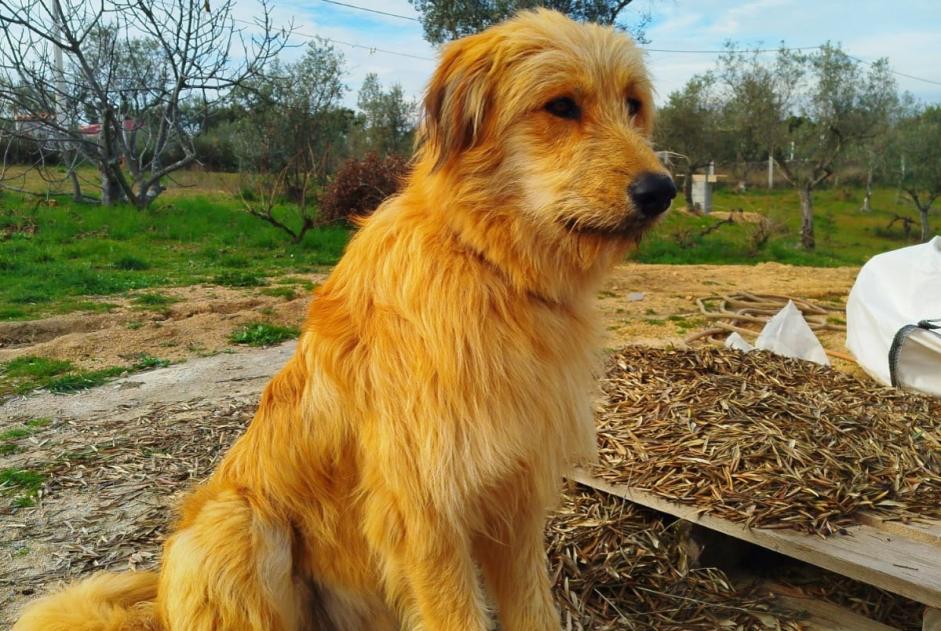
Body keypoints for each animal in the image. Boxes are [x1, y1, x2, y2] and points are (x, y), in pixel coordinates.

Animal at [16, 11, 676, 631]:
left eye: (632, 105)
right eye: (561, 105)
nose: (662, 191)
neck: (484, 264)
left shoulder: (513, 504)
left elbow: (534, 611)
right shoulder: (425, 515)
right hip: (235, 525)